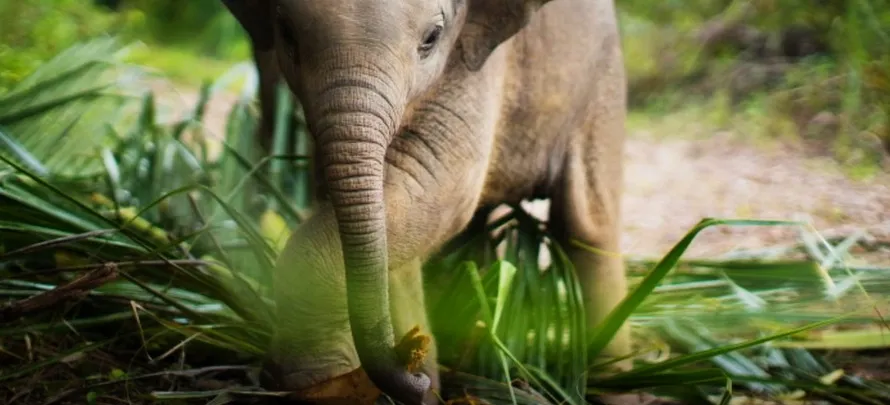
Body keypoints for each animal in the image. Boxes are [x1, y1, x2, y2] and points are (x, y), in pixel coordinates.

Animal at [221, 0, 630, 403]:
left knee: (587, 228)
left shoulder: (480, 63)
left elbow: (440, 185)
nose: (411, 373)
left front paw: (318, 382)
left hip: (602, 83)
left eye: (432, 38)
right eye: (286, 32)